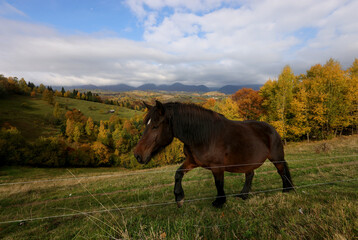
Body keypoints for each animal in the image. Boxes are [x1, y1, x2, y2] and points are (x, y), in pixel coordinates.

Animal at [134, 100, 294, 207]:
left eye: (155, 126)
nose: (137, 155)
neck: (204, 136)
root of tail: (272, 128)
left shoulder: (217, 167)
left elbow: (218, 183)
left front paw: (220, 201)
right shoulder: (192, 161)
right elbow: (178, 174)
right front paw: (179, 198)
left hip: (276, 158)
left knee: (282, 171)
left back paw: (287, 190)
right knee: (250, 174)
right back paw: (243, 195)